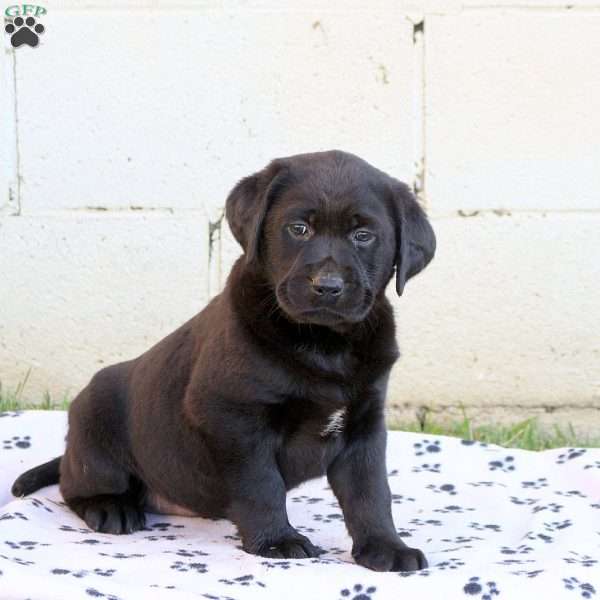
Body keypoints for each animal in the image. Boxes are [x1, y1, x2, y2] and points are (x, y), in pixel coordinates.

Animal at [11, 150, 436, 572]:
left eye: (363, 236)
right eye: (298, 228)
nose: (327, 287)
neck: (324, 342)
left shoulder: (364, 423)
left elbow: (371, 493)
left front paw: (385, 547)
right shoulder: (234, 418)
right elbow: (261, 483)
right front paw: (276, 541)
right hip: (93, 425)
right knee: (74, 485)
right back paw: (110, 507)